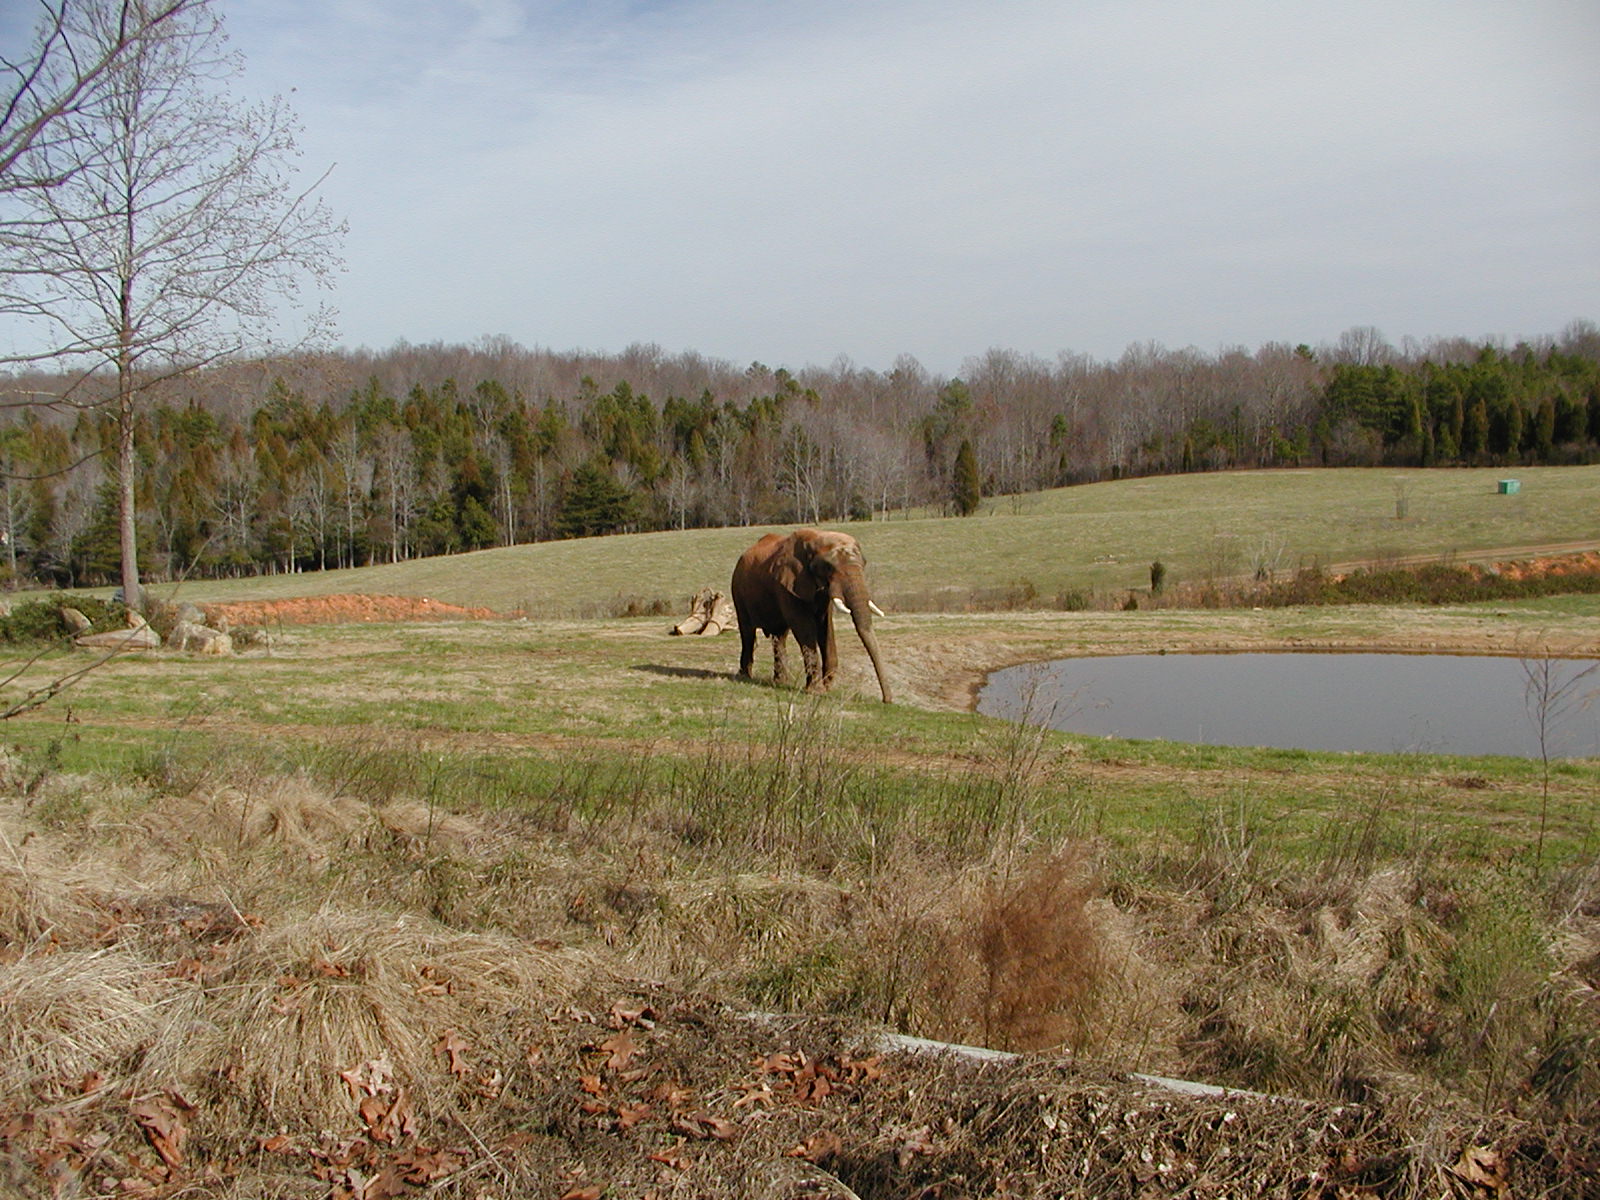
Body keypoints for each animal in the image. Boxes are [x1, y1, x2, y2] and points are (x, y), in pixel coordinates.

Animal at [732, 524, 896, 704]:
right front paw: (816, 691)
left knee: (779, 636)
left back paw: (780, 682)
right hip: (738, 590)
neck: (817, 537)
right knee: (747, 632)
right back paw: (745, 677)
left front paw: (827, 688)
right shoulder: (786, 584)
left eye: (864, 563)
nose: (887, 700)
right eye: (829, 567)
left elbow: (825, 626)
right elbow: (804, 626)